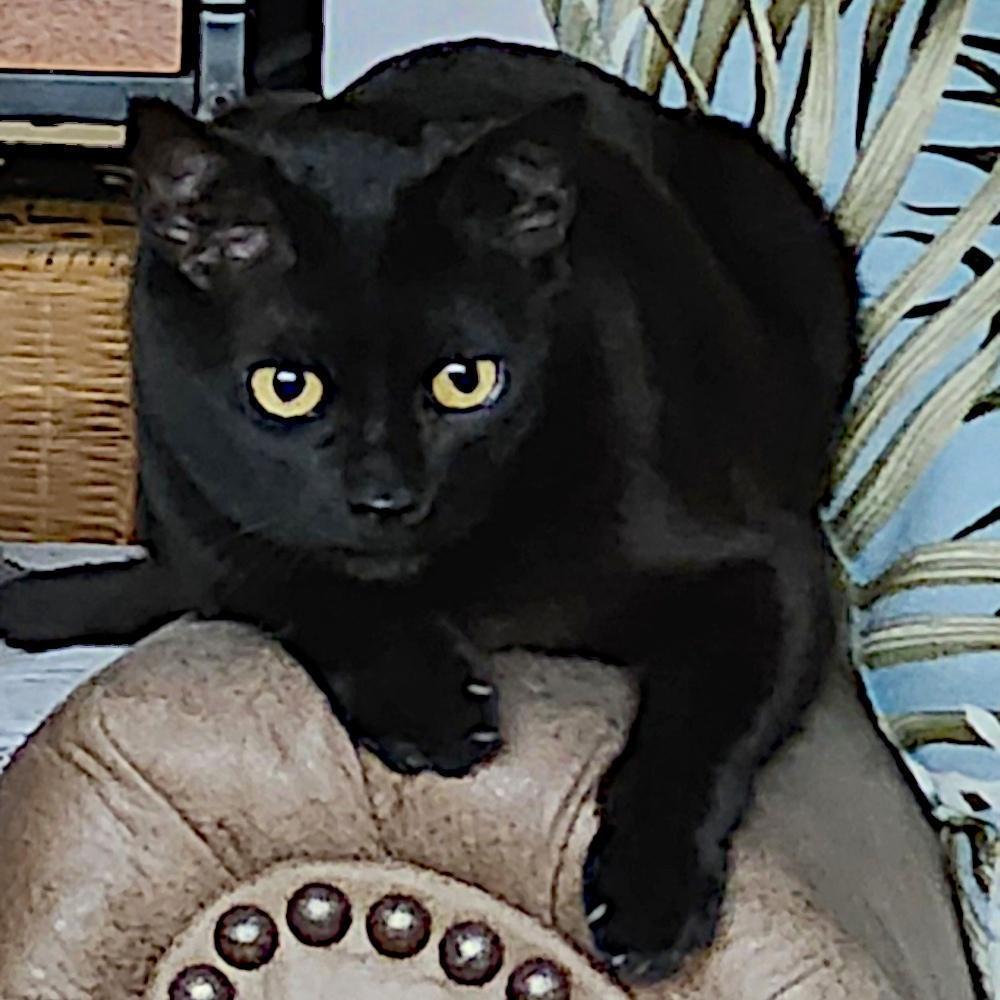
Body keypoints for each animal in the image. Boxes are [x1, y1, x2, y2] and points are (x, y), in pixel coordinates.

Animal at [0, 41, 860, 984]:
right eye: (286, 388)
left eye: (466, 380)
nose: (387, 497)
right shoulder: (205, 521)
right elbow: (302, 582)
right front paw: (428, 703)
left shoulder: (772, 565)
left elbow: (701, 725)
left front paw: (648, 899)